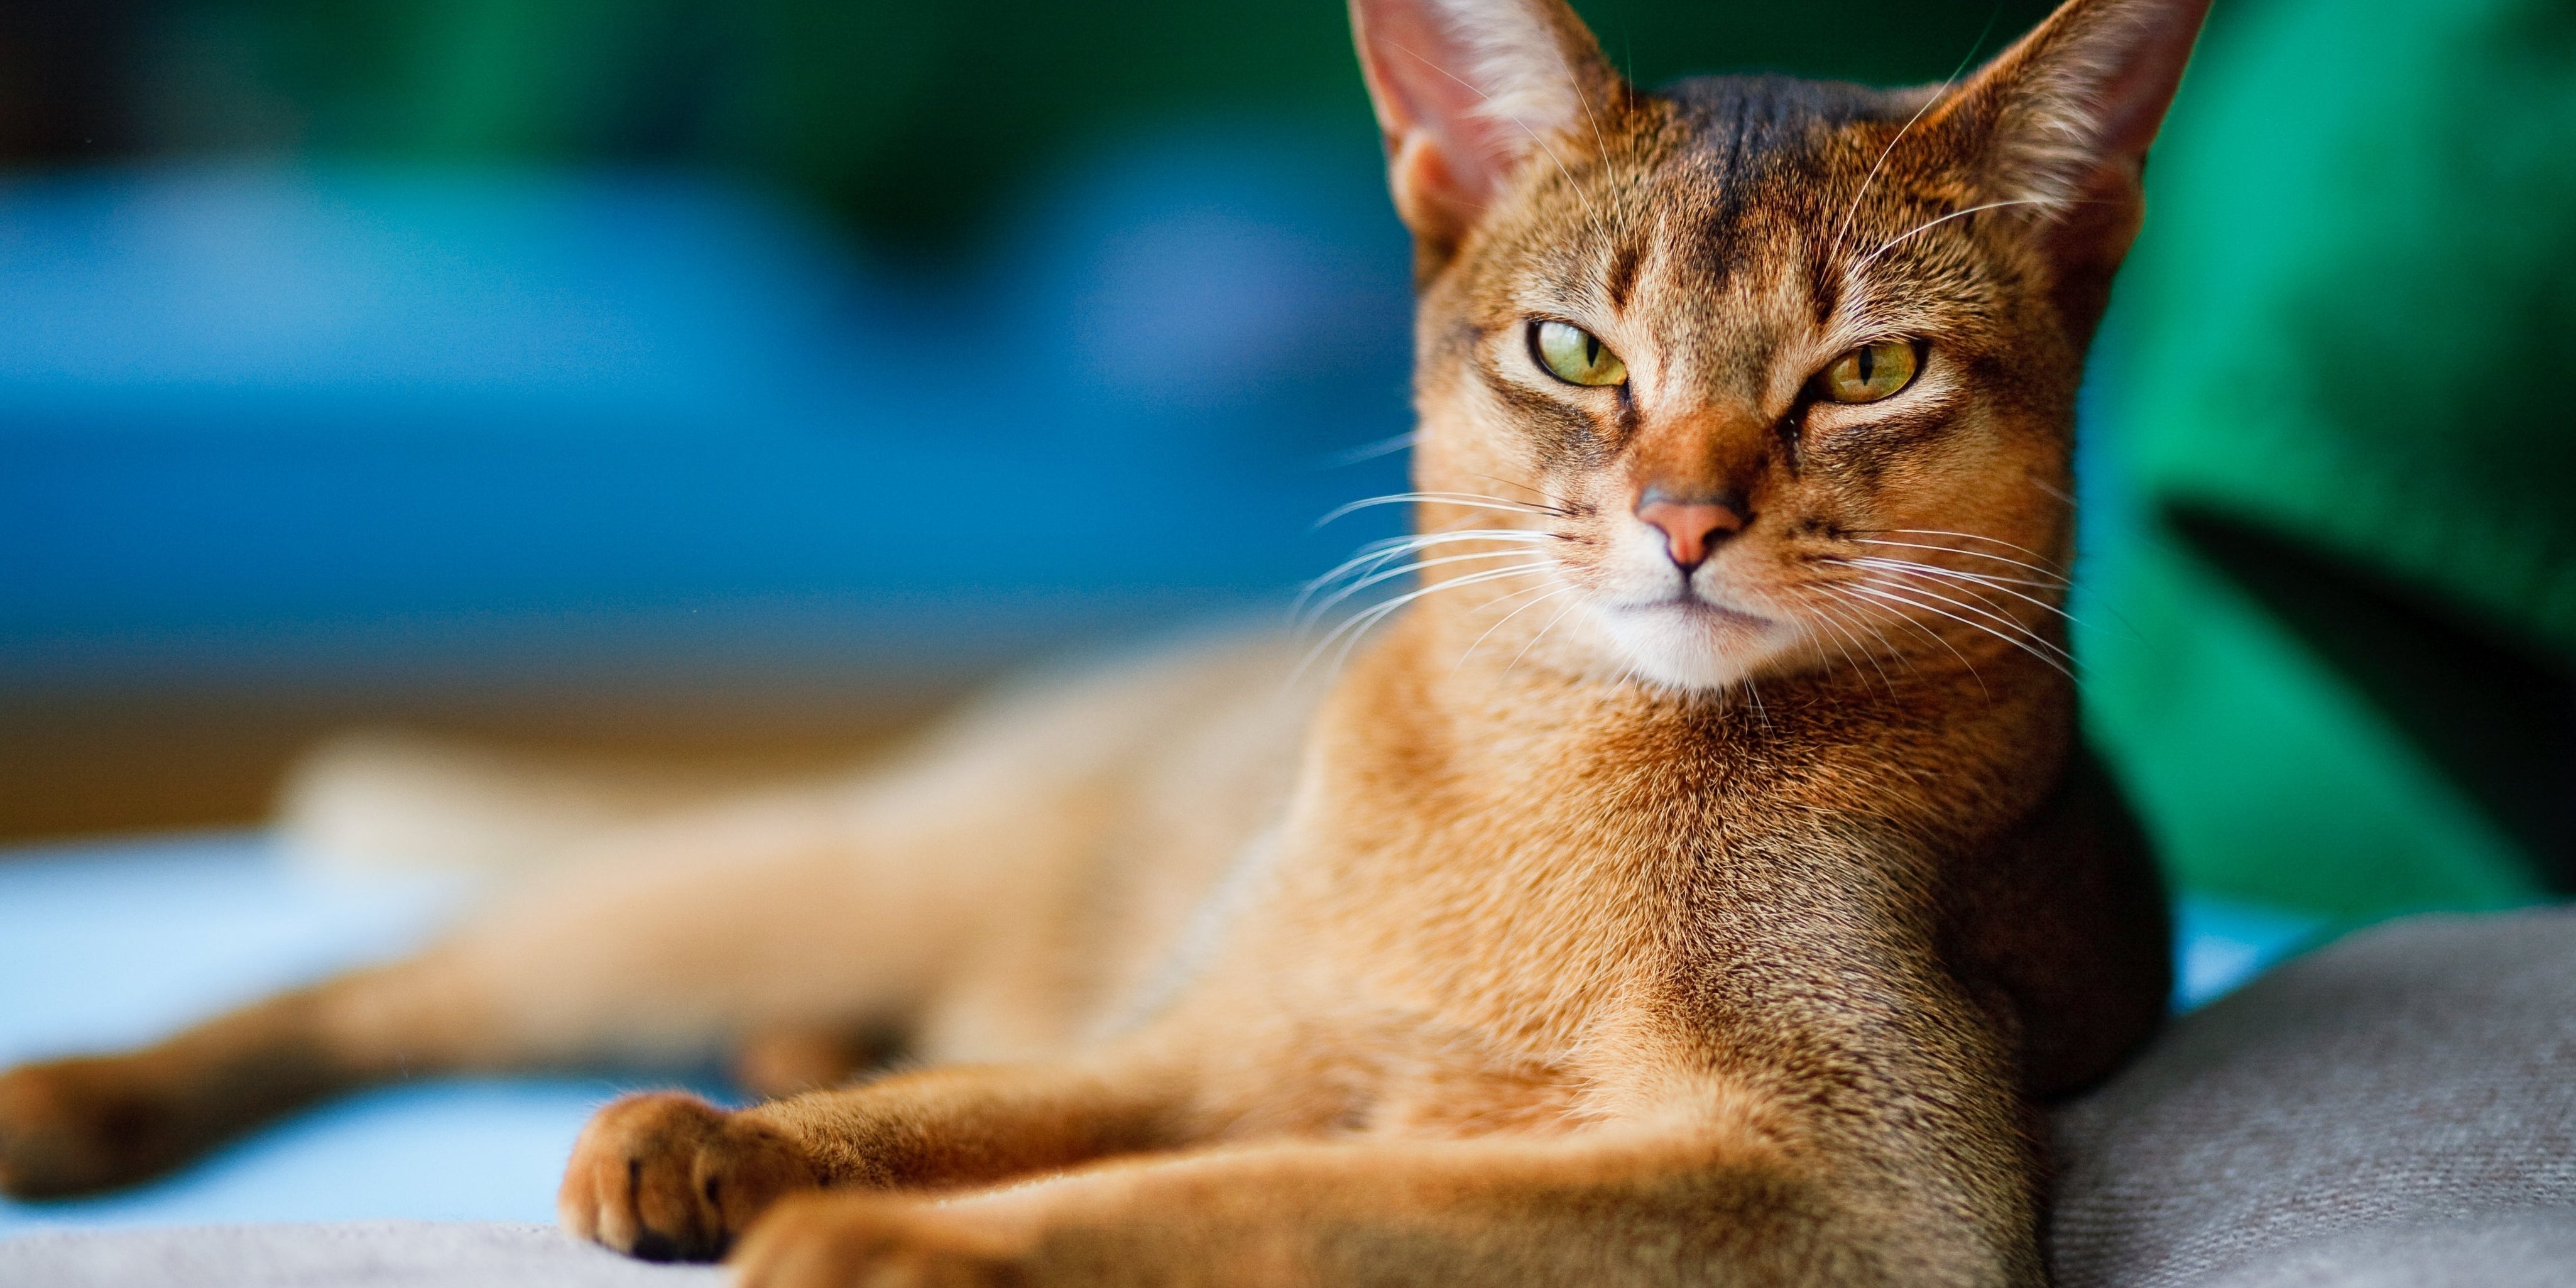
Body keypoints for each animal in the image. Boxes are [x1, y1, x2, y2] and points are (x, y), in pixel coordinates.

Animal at [0, 3, 2215, 1277]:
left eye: (1871, 372)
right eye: (1573, 351)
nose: (1682, 519)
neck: (1547, 777)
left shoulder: (1867, 1181)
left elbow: (1266, 1200)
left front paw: (888, 1244)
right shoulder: (1197, 1043)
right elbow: (981, 1112)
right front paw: (755, 1155)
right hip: (814, 868)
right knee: (406, 975)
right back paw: (92, 1100)